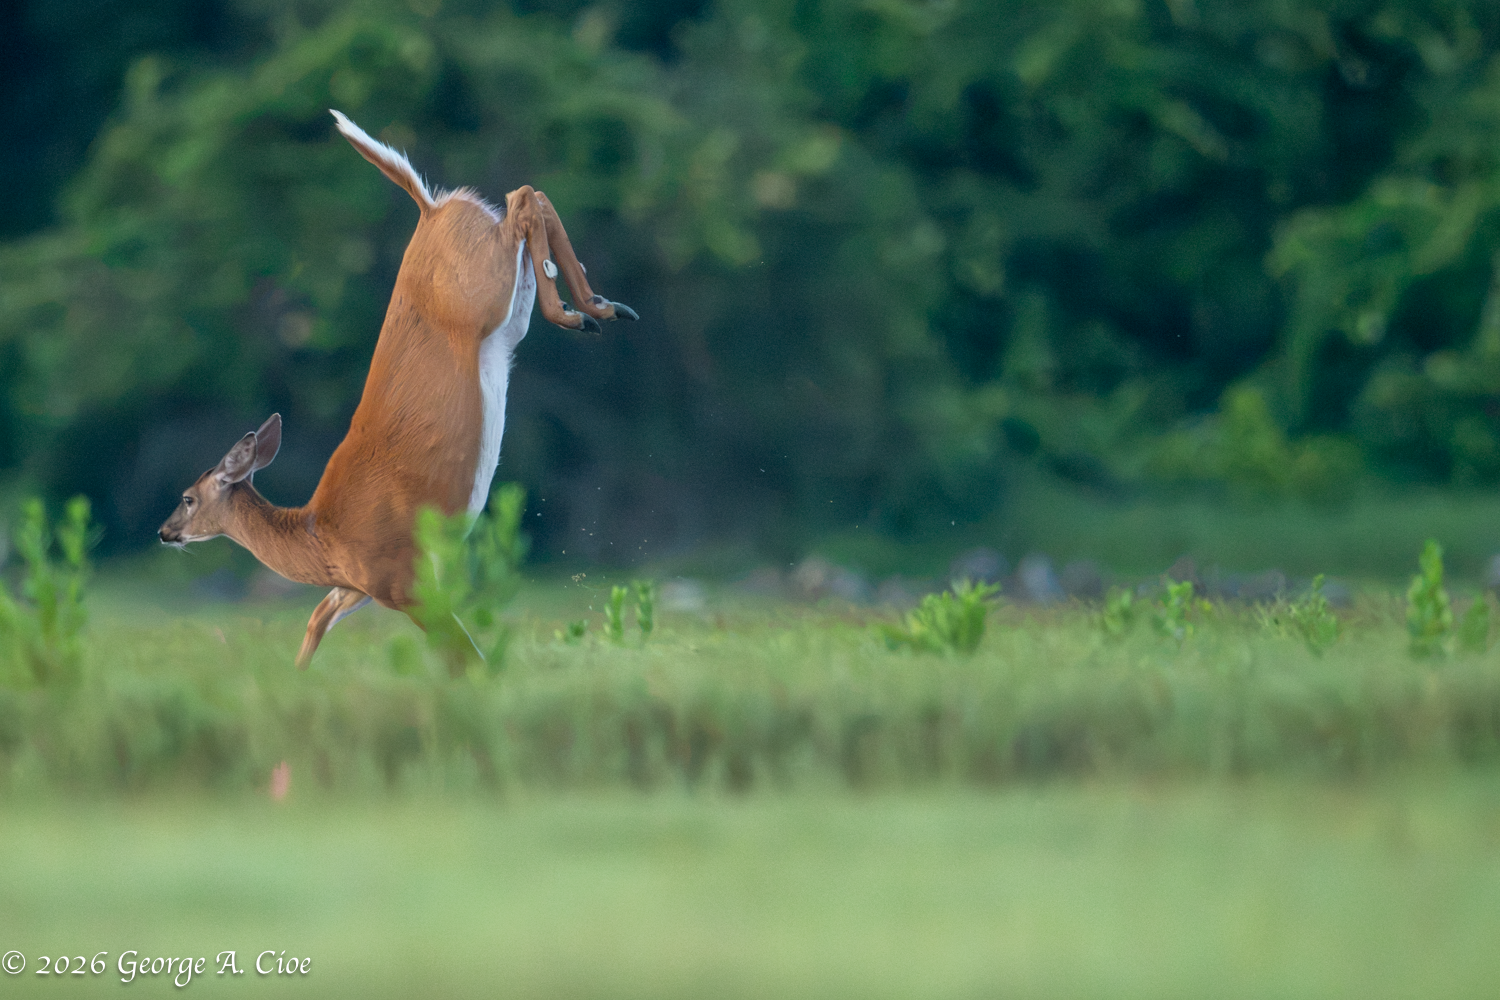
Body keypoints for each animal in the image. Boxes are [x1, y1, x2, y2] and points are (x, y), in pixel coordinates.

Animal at [158, 110, 636, 668]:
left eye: (188, 497)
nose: (165, 531)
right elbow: (314, 624)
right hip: (501, 303)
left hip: (480, 288)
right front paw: (295, 677)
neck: (319, 537)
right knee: (532, 196)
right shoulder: (355, 588)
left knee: (521, 199)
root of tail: (432, 210)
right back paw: (601, 306)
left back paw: (576, 313)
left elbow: (464, 654)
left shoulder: (401, 581)